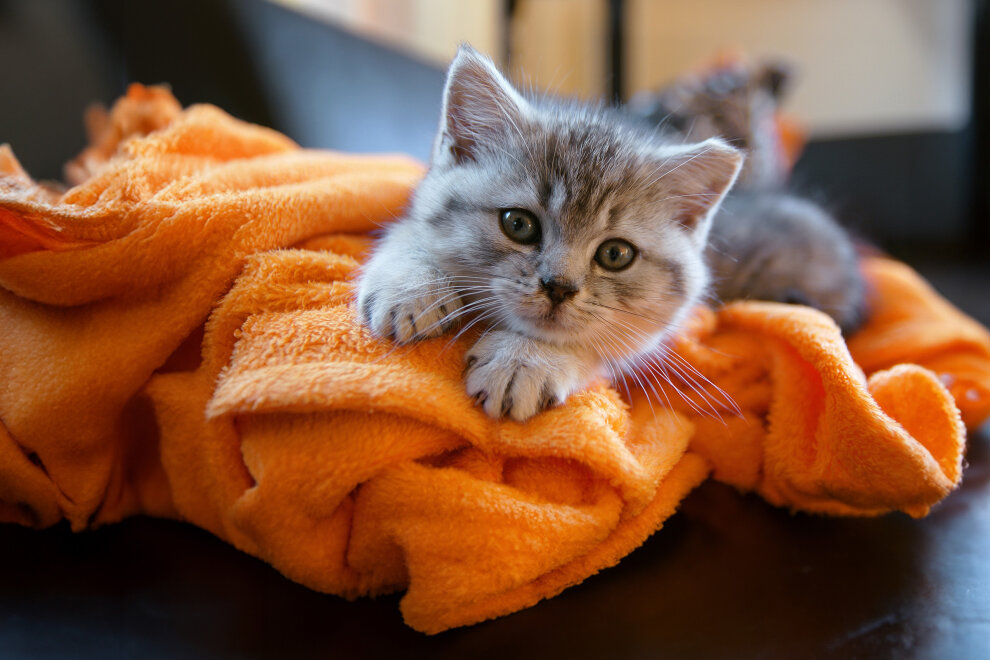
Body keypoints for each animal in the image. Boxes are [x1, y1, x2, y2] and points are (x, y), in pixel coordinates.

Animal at [358, 46, 744, 420]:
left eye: (615, 254)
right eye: (518, 224)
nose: (559, 287)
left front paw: (525, 359)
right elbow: (410, 229)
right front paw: (411, 287)